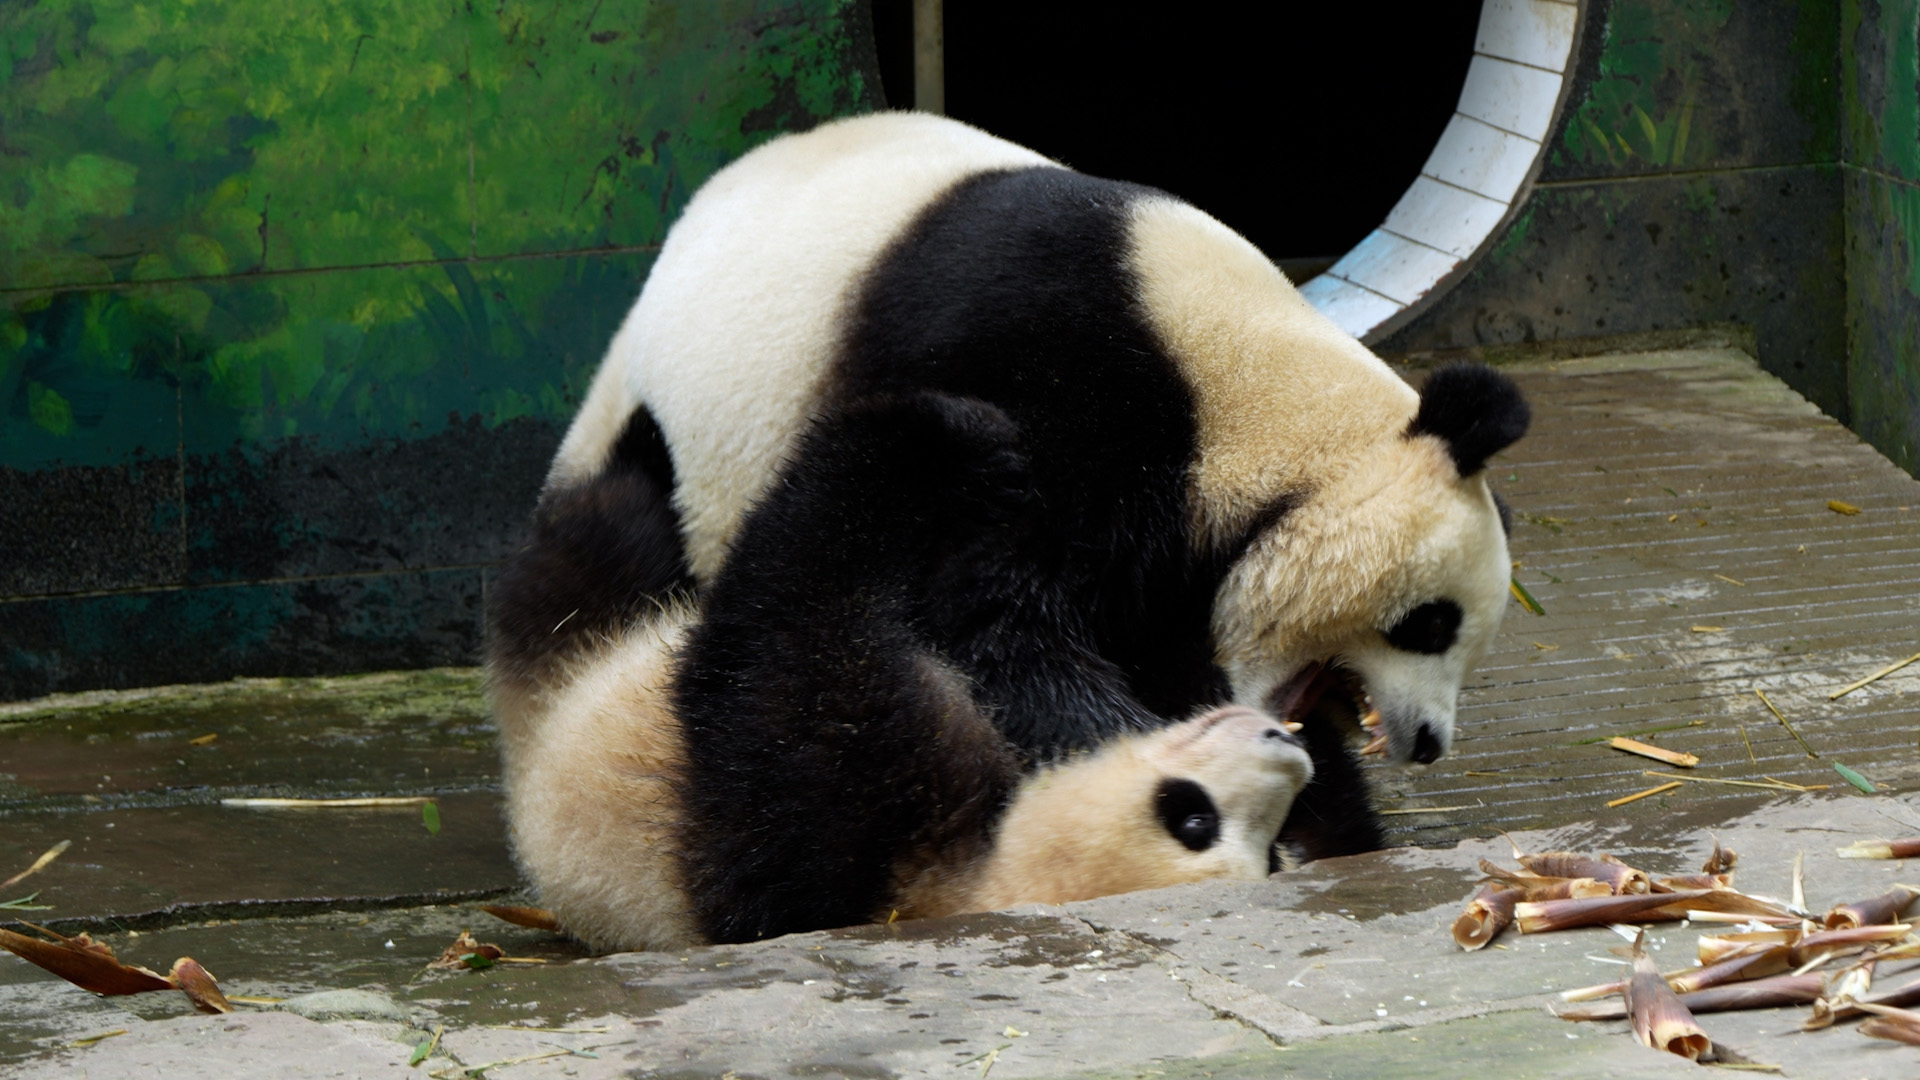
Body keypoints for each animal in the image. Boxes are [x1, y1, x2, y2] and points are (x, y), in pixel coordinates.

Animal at [492, 111, 1527, 945]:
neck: (1239, 392)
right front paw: (1116, 747)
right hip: (672, 462)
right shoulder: (1049, 378)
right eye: (1431, 622)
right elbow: (993, 615)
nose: (1428, 742)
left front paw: (1326, 820)